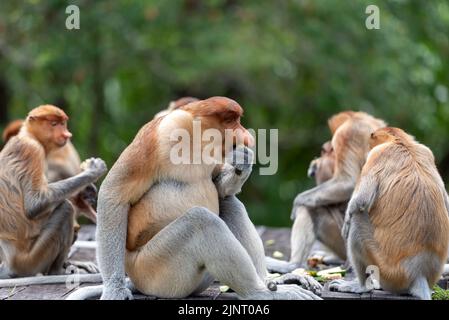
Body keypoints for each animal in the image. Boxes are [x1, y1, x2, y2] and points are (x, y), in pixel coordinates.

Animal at [0, 105, 106, 280]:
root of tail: (9, 264)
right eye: (54, 124)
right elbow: (35, 204)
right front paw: (93, 170)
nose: (67, 135)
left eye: (63, 123)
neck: (30, 135)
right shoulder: (32, 150)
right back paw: (57, 271)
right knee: (65, 209)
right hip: (30, 261)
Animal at [66, 95, 320, 300]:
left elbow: (218, 188)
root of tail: (137, 279)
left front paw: (243, 161)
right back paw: (261, 293)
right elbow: (114, 193)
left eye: (238, 120)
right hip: (155, 271)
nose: (247, 136)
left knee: (228, 203)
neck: (198, 139)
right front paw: (115, 290)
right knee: (201, 222)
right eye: (231, 120)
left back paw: (270, 281)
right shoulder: (158, 135)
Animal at [328, 127, 448, 300]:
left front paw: (346, 222)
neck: (401, 142)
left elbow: (360, 202)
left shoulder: (376, 155)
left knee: (357, 222)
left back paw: (361, 287)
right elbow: (446, 199)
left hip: (387, 271)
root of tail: (418, 273)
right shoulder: (427, 152)